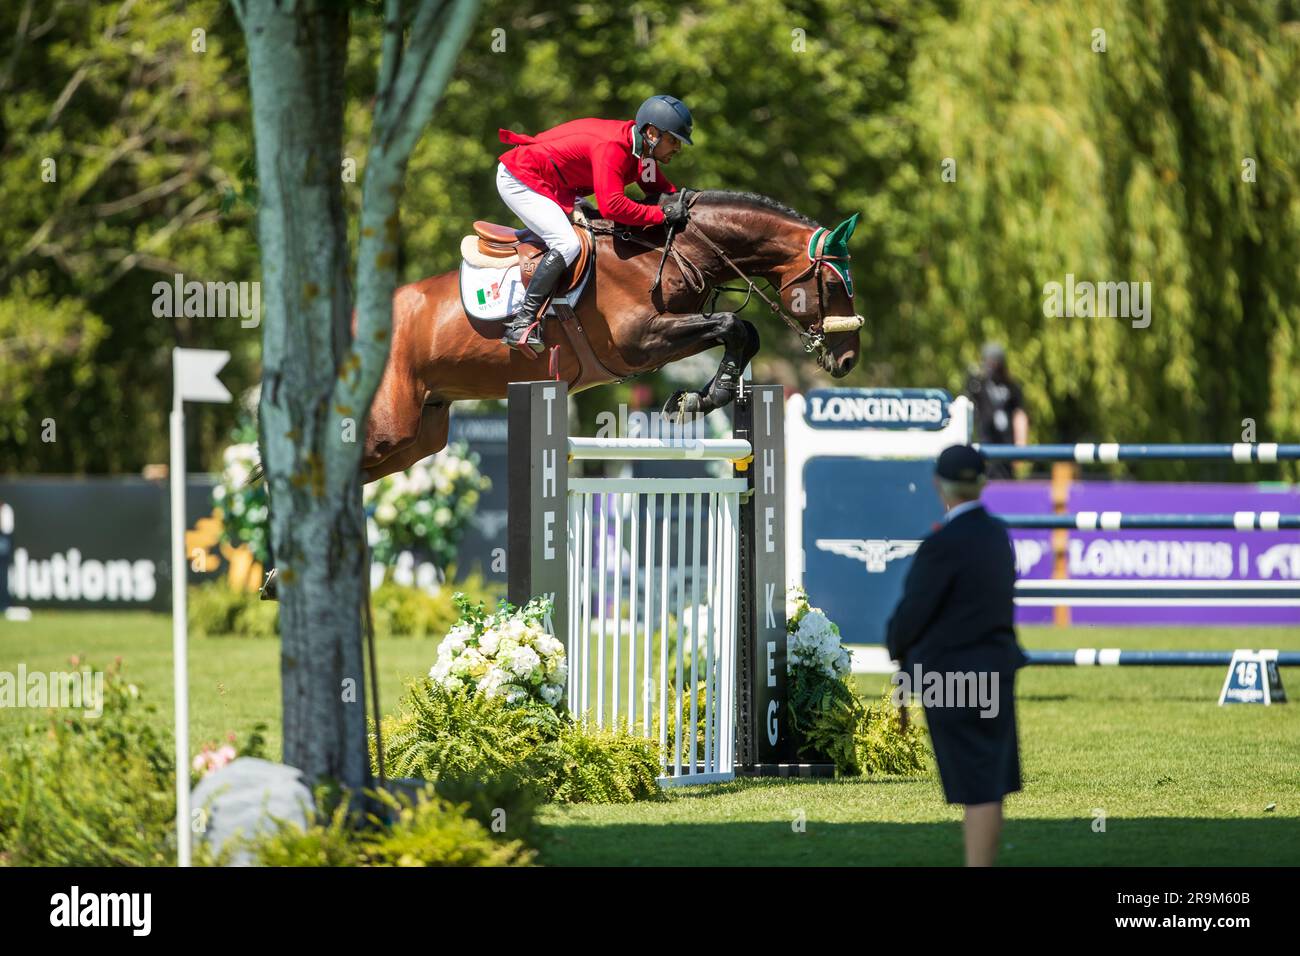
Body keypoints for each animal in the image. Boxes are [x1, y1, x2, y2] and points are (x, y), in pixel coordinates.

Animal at [358, 191, 863, 486]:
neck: (670, 249)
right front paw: (704, 396)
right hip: (389, 429)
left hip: (418, 438)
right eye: (833, 283)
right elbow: (732, 326)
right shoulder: (638, 342)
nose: (849, 360)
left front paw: (697, 398)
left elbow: (742, 332)